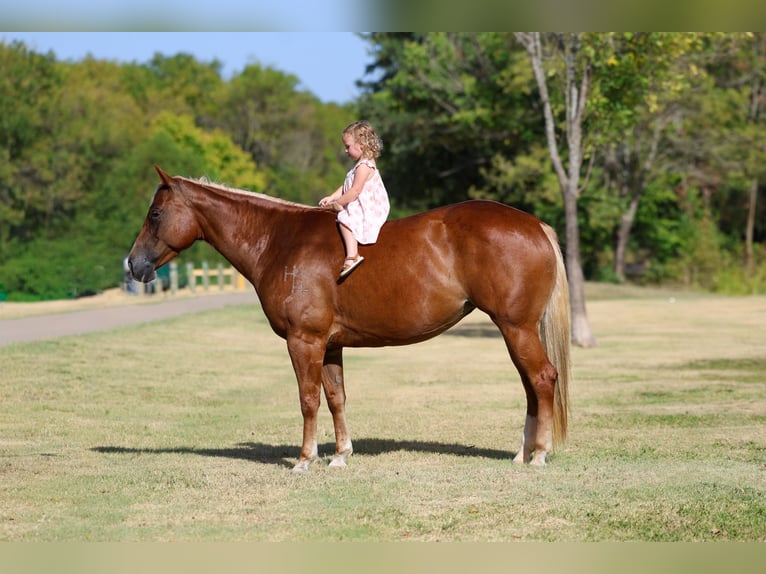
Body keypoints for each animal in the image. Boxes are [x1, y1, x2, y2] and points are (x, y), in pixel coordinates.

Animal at [128, 166, 572, 472]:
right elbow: (336, 397)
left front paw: (304, 460)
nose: (132, 265)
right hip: (516, 331)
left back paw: (538, 455)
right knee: (531, 385)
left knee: (542, 379)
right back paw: (522, 453)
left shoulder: (304, 341)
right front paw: (340, 455)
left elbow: (308, 399)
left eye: (155, 214)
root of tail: (535, 224)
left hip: (516, 328)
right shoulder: (329, 345)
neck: (279, 241)